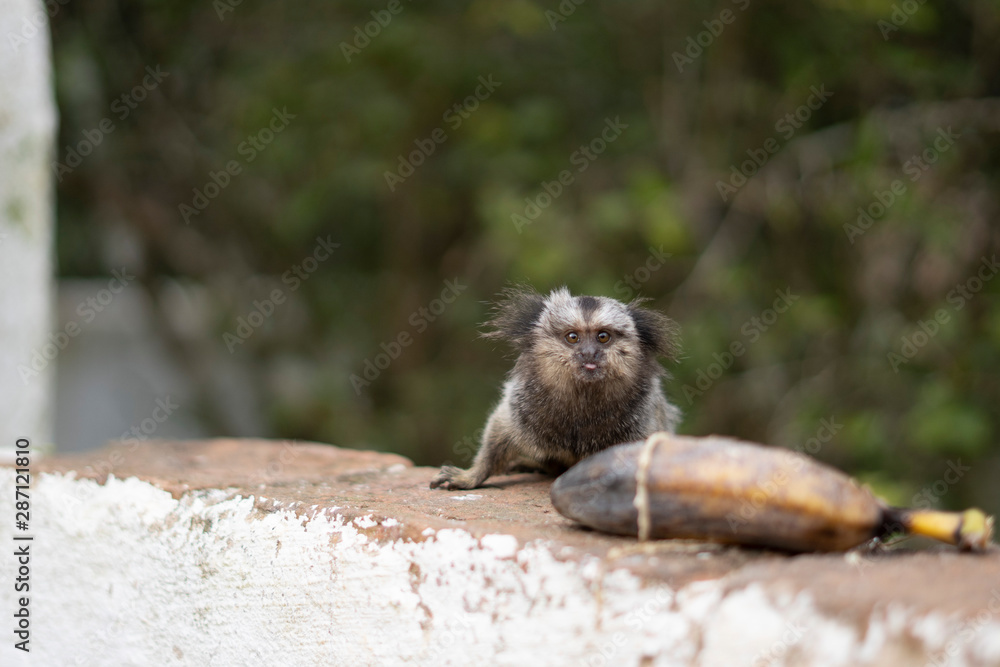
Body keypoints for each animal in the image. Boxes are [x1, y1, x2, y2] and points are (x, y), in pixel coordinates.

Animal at [430, 285, 681, 490]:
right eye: (572, 337)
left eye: (602, 337)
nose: (589, 353)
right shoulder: (521, 407)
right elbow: (498, 432)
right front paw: (472, 476)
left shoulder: (643, 419)